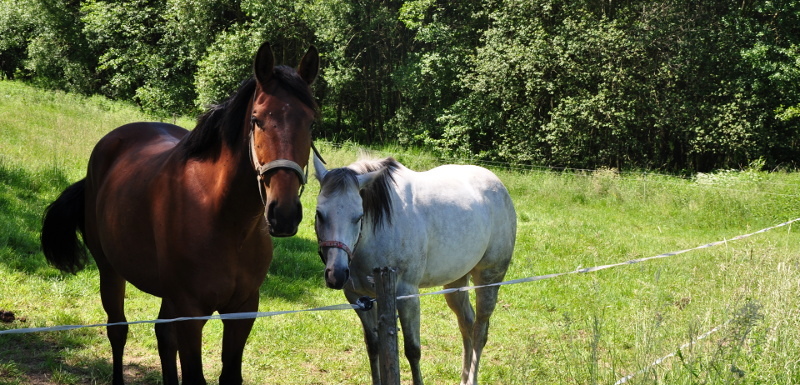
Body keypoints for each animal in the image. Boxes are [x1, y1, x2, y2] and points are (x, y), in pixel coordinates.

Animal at [38, 42, 318, 384]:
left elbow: (228, 373)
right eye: (257, 120)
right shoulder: (190, 314)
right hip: (111, 272)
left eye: (311, 122)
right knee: (118, 330)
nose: (285, 213)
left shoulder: (242, 310)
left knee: (162, 335)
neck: (226, 222)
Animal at [310, 154, 516, 384]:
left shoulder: (407, 295)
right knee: (467, 325)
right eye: (319, 214)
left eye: (358, 216)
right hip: (455, 284)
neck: (377, 232)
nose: (336, 274)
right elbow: (374, 346)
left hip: (489, 280)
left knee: (480, 331)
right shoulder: (359, 298)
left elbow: (412, 350)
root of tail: (499, 186)